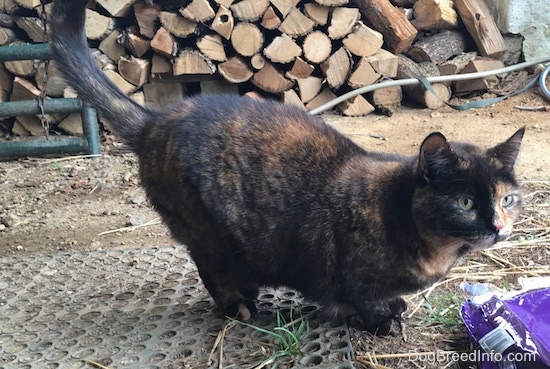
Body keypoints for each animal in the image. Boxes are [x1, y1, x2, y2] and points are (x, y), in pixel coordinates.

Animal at [50, 0, 528, 334]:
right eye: (465, 202)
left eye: (507, 199)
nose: (498, 226)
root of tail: (156, 121)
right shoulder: (350, 274)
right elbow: (359, 299)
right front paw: (380, 319)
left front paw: (392, 308)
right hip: (209, 233)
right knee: (210, 267)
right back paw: (239, 304)